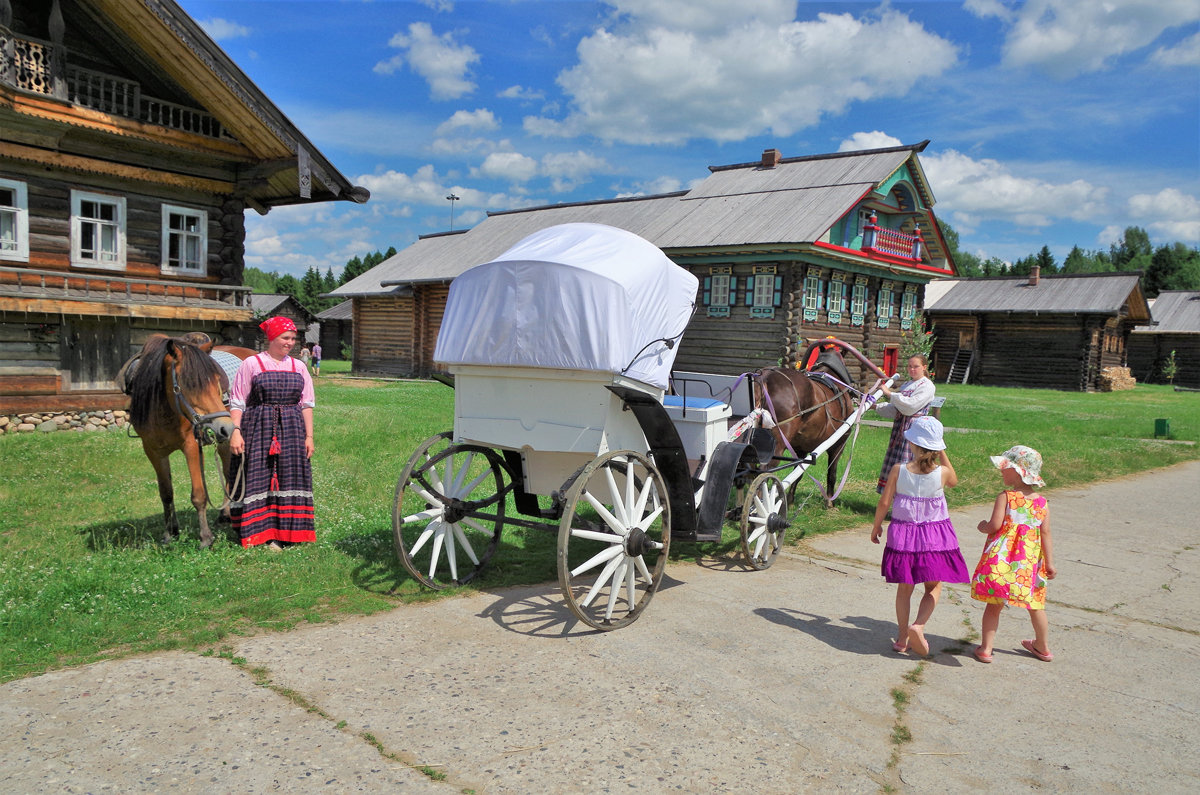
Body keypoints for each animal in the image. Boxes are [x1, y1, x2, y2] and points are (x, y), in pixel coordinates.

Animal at [127, 333, 238, 547]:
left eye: (216, 381)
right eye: (190, 384)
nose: (226, 426)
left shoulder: (191, 446)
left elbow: (199, 494)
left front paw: (205, 537)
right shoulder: (153, 451)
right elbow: (166, 493)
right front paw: (170, 533)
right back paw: (224, 514)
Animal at [753, 350, 859, 511]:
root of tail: (764, 377)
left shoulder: (800, 449)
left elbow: (798, 473)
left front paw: (790, 500)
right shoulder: (839, 444)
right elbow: (832, 473)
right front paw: (829, 502)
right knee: (764, 470)